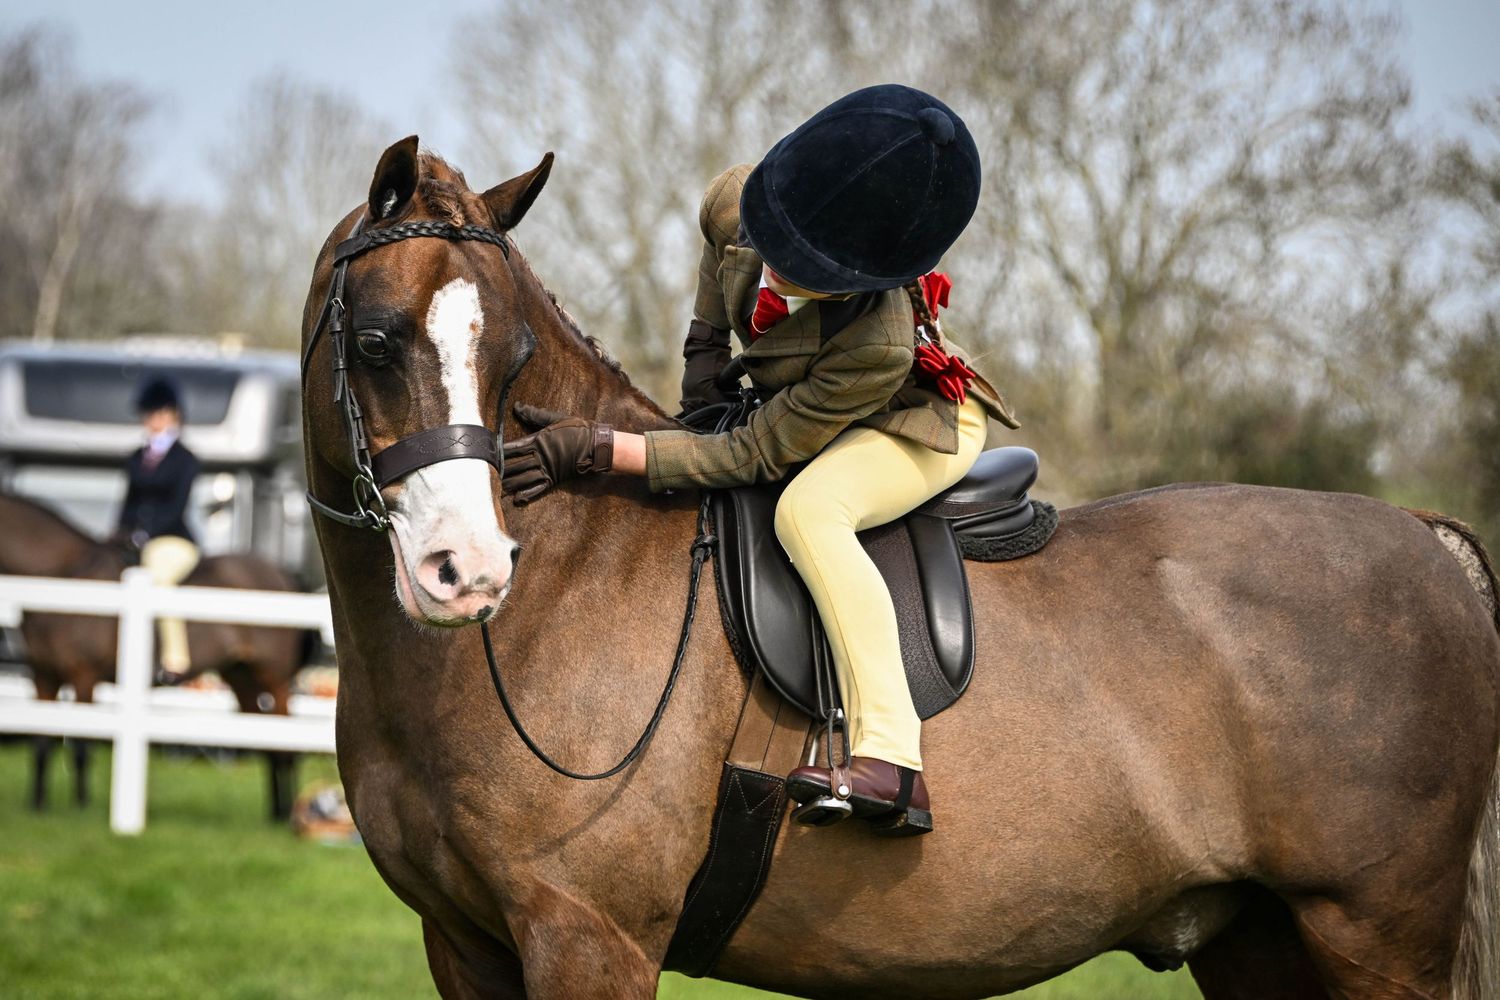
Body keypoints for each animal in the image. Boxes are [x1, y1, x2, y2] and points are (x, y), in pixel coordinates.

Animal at [0, 492, 317, 820]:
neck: (67, 577)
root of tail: (283, 573)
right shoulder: (43, 675)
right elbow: (40, 743)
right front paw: (38, 805)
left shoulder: (83, 675)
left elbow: (80, 747)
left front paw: (81, 806)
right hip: (240, 675)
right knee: (265, 737)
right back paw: (276, 812)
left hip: (273, 676)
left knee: (286, 742)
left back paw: (286, 814)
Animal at [303, 136, 1500, 999]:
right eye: (375, 343)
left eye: (510, 361)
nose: (466, 572)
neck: (564, 591)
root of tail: (1425, 536)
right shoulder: (465, 942)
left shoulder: (588, 938)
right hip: (1259, 937)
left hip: (1371, 934)